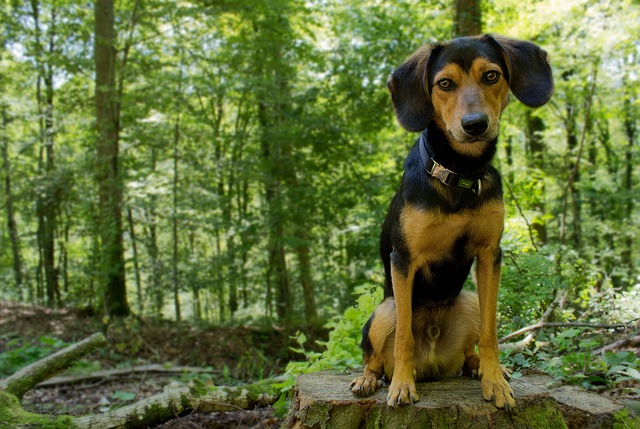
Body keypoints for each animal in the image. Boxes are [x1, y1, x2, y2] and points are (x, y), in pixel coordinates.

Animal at [348, 34, 552, 408]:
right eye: (444, 83)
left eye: (491, 76)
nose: (475, 124)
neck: (460, 173)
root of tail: (433, 363)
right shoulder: (404, 260)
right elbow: (403, 339)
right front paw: (402, 386)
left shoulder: (490, 254)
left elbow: (490, 332)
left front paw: (494, 381)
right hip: (385, 309)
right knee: (376, 356)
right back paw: (369, 379)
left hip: (468, 300)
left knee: (469, 349)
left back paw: (478, 367)